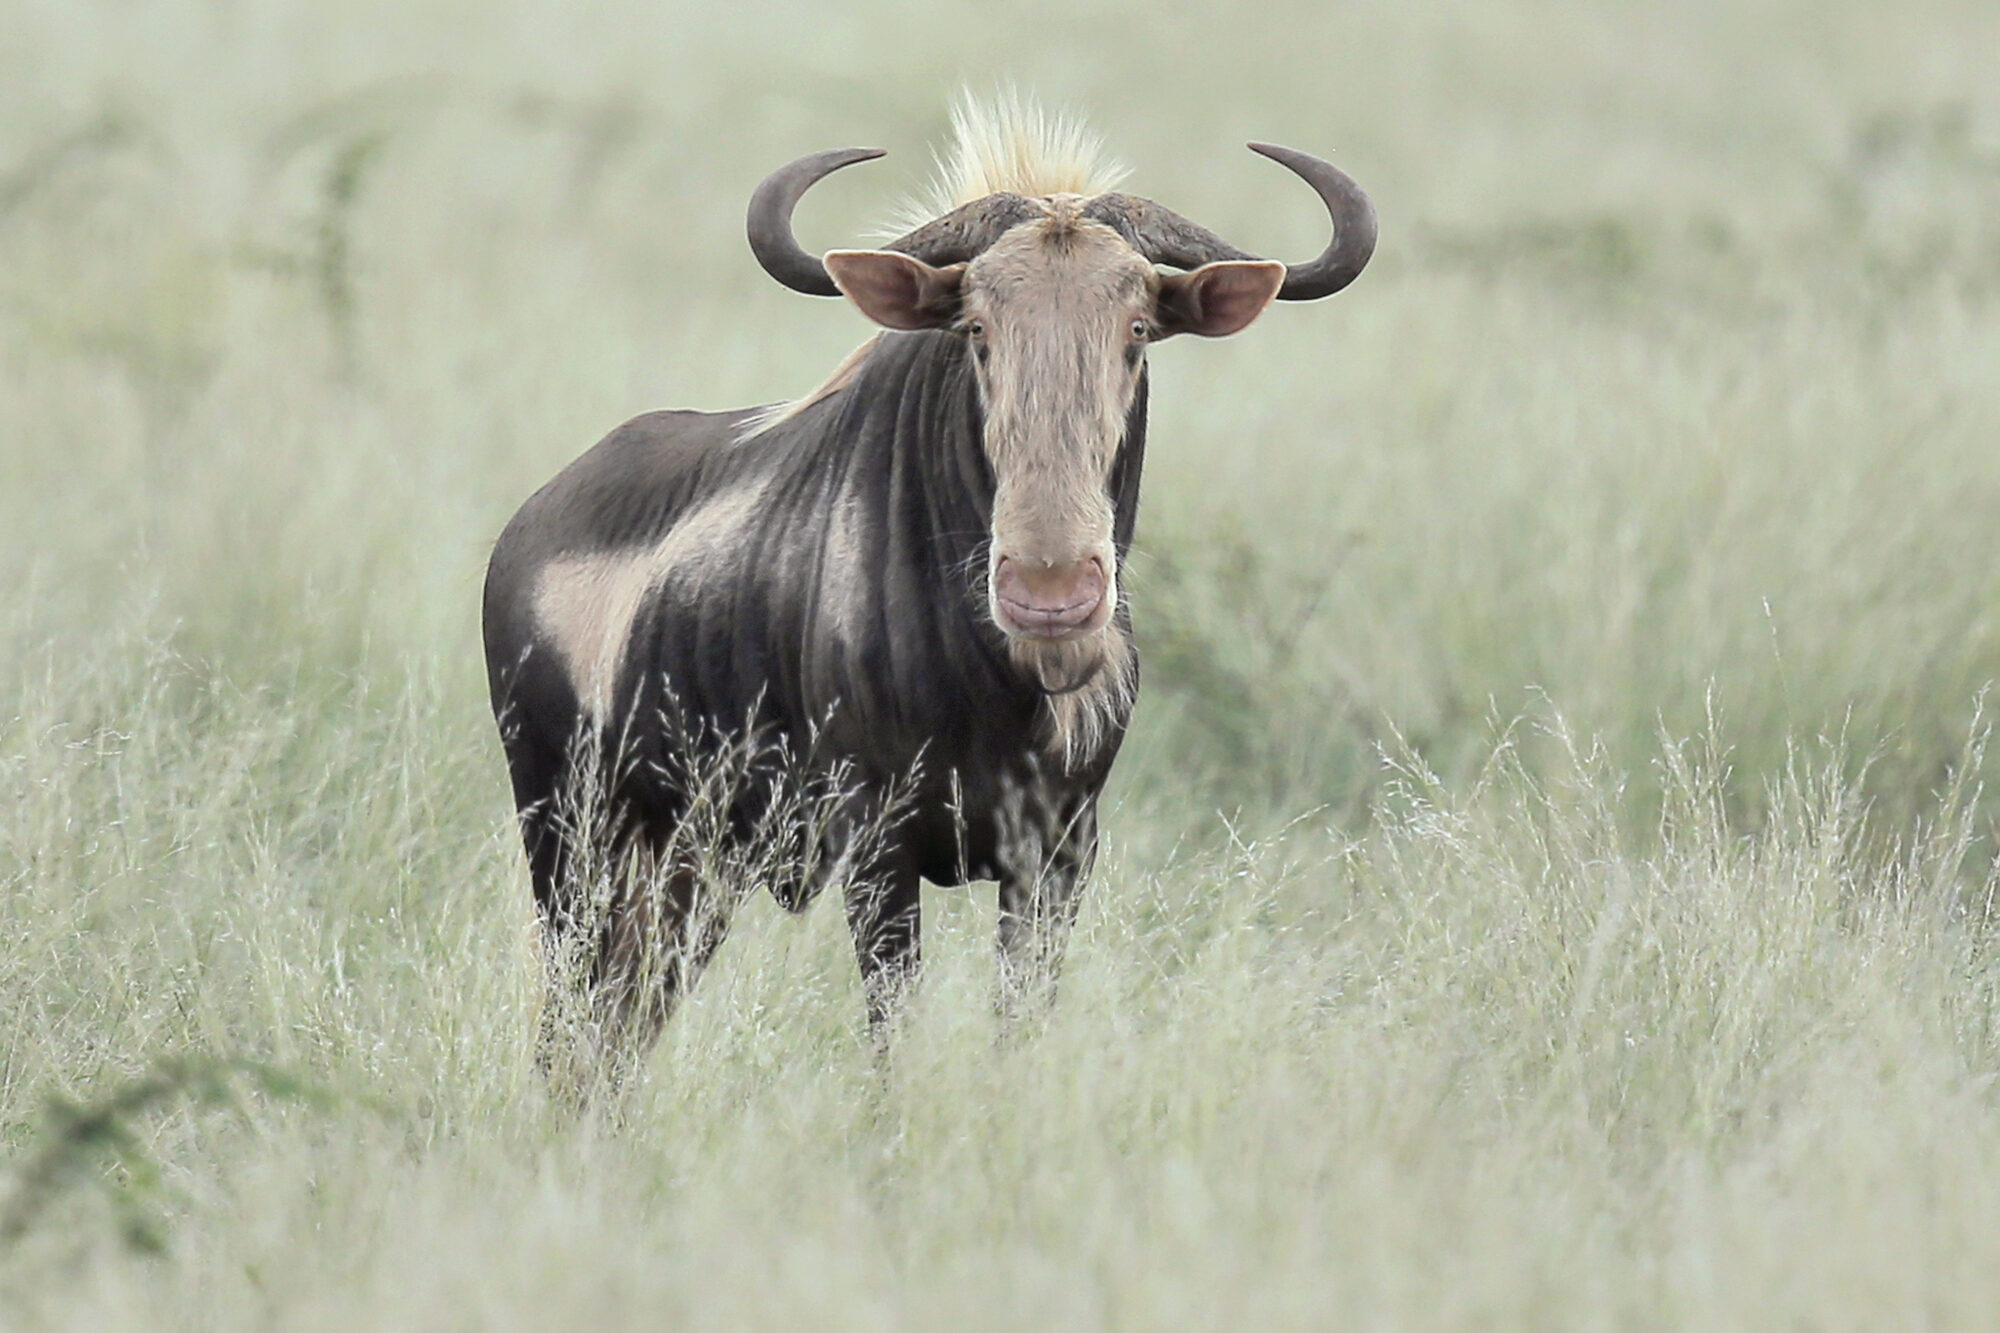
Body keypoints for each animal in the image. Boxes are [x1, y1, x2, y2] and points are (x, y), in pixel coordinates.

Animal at [482, 105, 1374, 1068]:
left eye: (1137, 328)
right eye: (976, 328)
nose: (1051, 592)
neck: (1002, 687)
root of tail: (526, 528)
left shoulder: (1058, 853)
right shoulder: (878, 852)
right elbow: (893, 1043)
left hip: (687, 870)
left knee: (619, 1033)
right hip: (573, 846)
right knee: (571, 1038)